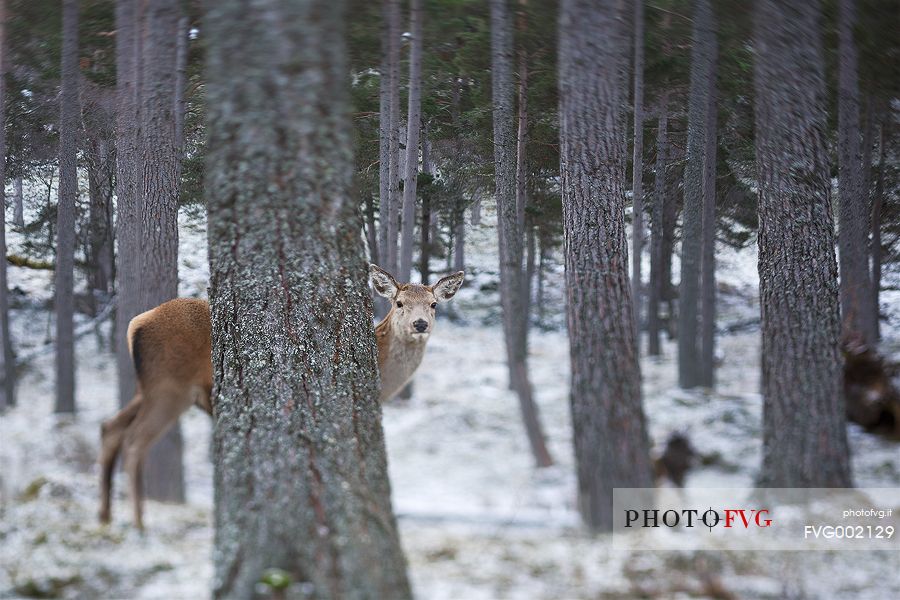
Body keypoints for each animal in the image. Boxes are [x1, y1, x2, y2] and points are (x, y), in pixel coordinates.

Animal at [98, 264, 464, 528]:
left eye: (433, 304)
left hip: (148, 388)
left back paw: (105, 517)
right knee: (134, 441)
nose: (420, 324)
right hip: (168, 385)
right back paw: (139, 525)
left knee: (110, 427)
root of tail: (136, 323)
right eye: (399, 303)